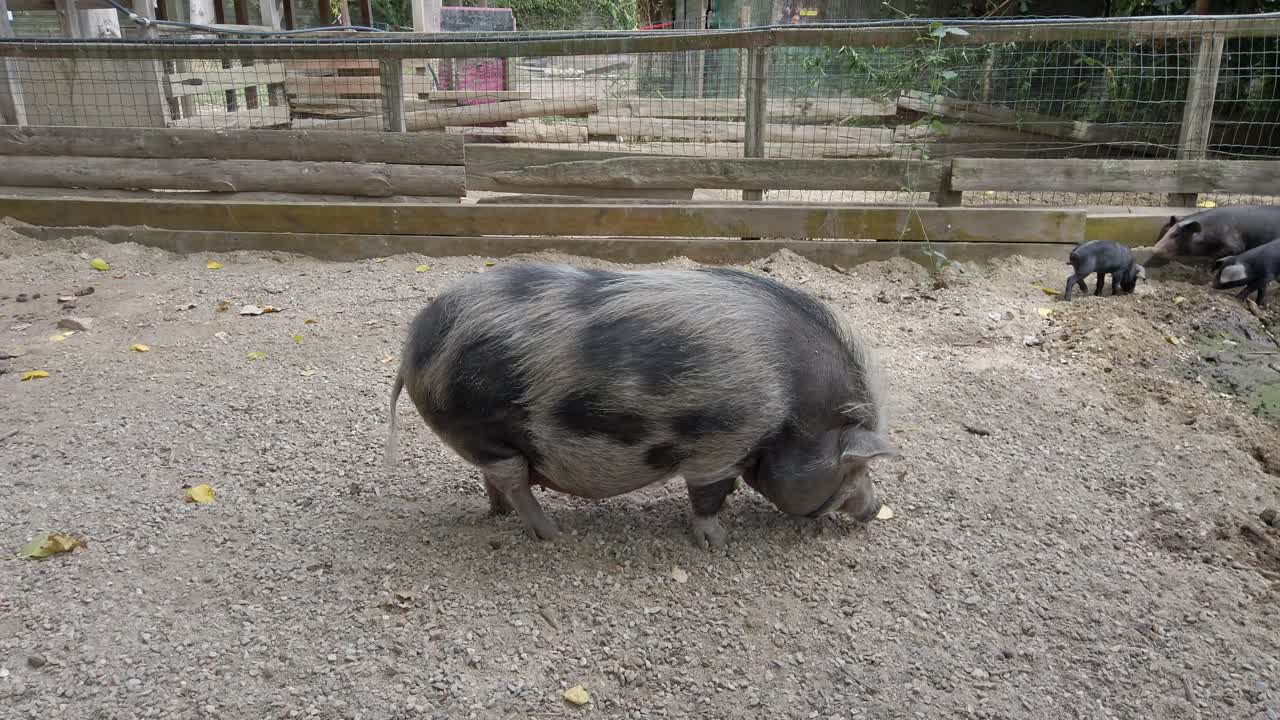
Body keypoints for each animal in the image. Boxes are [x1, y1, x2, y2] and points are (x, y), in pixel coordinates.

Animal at [383, 263, 895, 548]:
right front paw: (718, 544)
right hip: (481, 432)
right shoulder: (719, 446)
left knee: (498, 479)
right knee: (512, 478)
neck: (794, 409)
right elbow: (707, 497)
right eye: (856, 466)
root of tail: (412, 347)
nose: (874, 510)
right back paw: (551, 533)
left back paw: (501, 517)